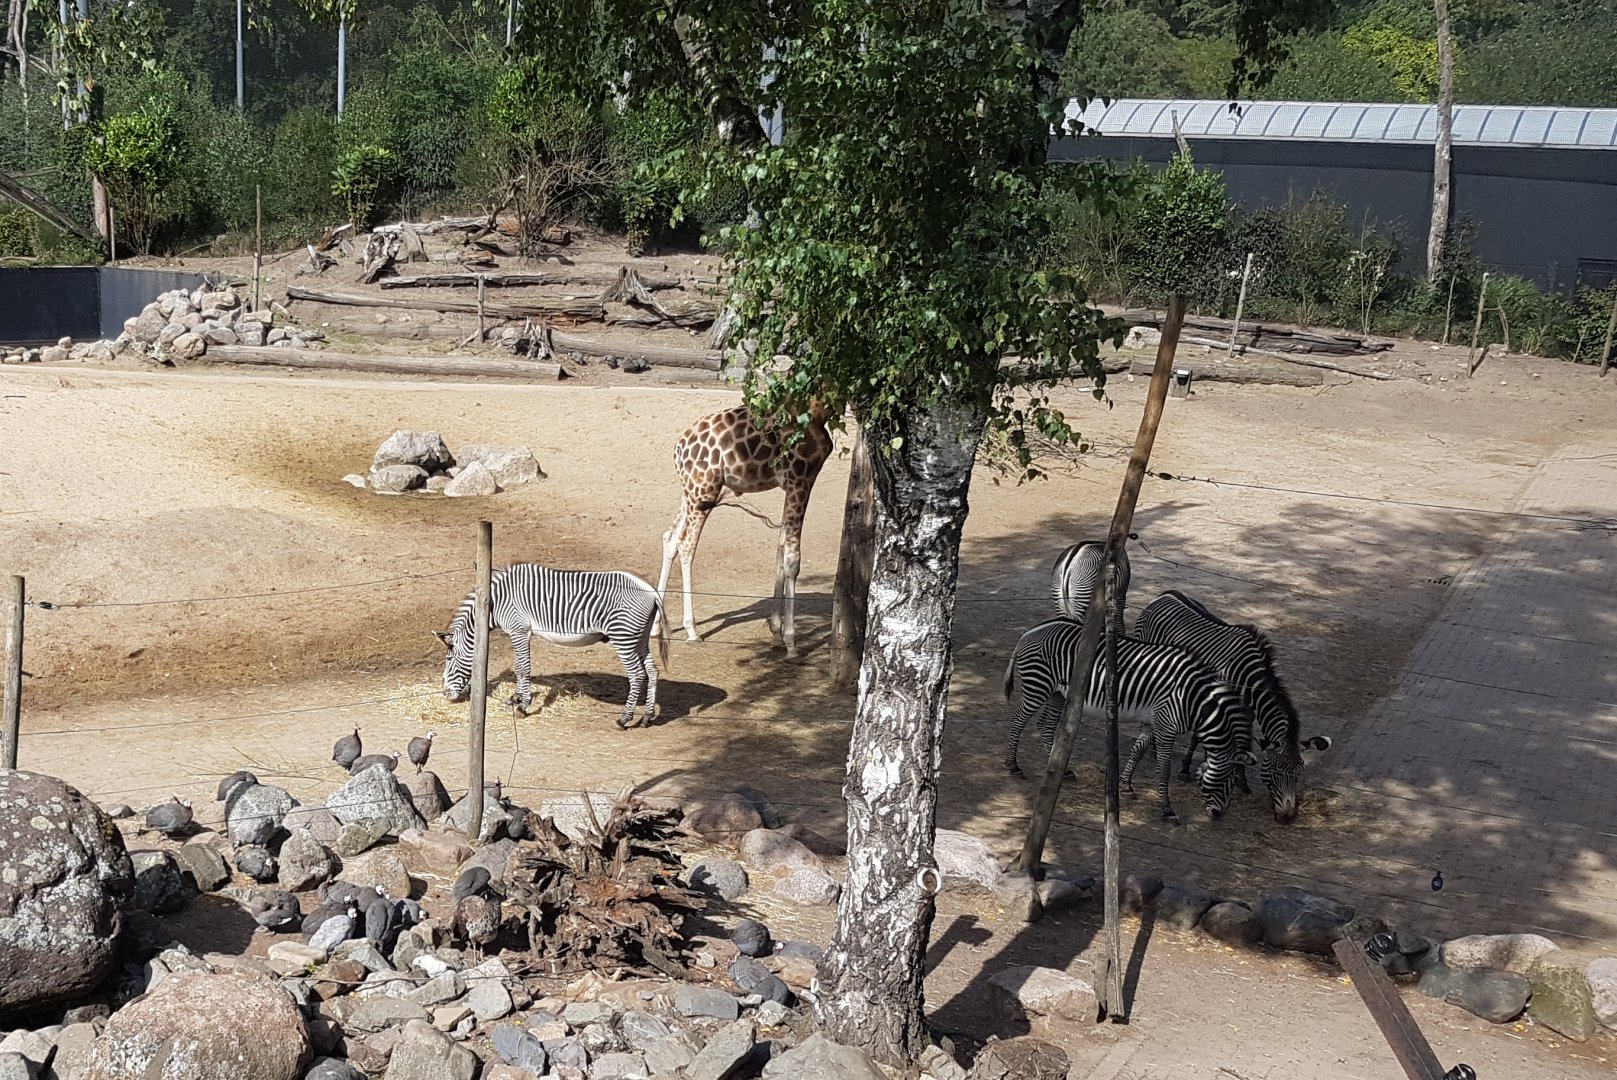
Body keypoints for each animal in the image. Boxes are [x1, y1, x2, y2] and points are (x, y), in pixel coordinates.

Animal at [434, 564, 670, 729]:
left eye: (448, 659)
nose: (446, 695)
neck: (494, 602)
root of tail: (651, 592)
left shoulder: (519, 630)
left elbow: (523, 668)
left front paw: (523, 706)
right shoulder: (519, 633)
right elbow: (518, 666)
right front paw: (516, 698)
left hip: (623, 637)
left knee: (637, 675)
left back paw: (624, 719)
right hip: (639, 638)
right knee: (652, 672)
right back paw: (647, 717)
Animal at [657, 402, 833, 657]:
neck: (818, 411)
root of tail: (678, 449)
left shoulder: (792, 484)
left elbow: (780, 549)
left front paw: (776, 632)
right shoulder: (800, 479)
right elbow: (792, 560)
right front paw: (791, 642)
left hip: (690, 492)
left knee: (670, 538)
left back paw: (656, 626)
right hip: (704, 489)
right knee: (686, 544)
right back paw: (692, 630)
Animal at [1002, 617, 1256, 821]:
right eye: (1229, 781)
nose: (1218, 815)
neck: (1192, 699)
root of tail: (1032, 630)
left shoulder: (1154, 721)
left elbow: (1138, 749)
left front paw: (1125, 786)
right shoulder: (1166, 724)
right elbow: (1163, 769)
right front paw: (1167, 810)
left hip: (1058, 693)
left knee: (1045, 726)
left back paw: (1060, 770)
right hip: (1039, 686)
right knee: (1017, 721)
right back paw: (1013, 765)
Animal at [1134, 590, 1333, 824]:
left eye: (1299, 772)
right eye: (1276, 771)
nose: (1287, 818)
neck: (1248, 677)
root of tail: (1165, 594)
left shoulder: (1247, 711)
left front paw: (1241, 780)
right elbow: (1205, 736)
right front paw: (1190, 770)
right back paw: (1154, 748)